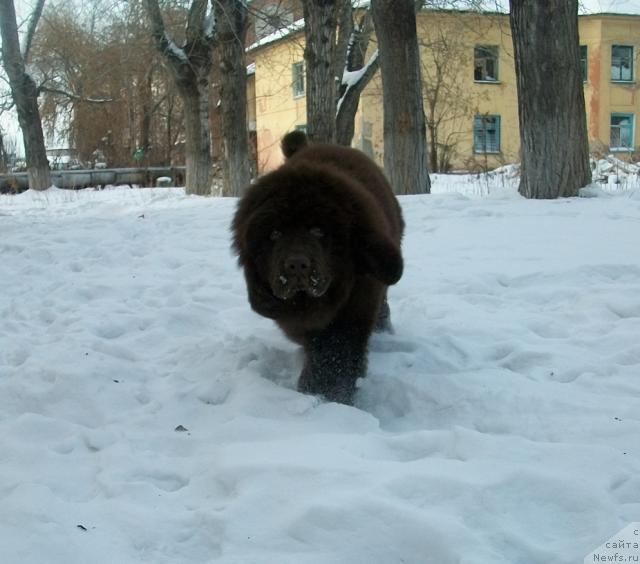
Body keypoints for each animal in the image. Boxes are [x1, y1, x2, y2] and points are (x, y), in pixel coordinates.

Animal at [231, 131, 404, 406]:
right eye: (275, 234)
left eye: (318, 231)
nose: (297, 265)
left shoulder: (352, 309)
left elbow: (334, 356)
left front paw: (324, 395)